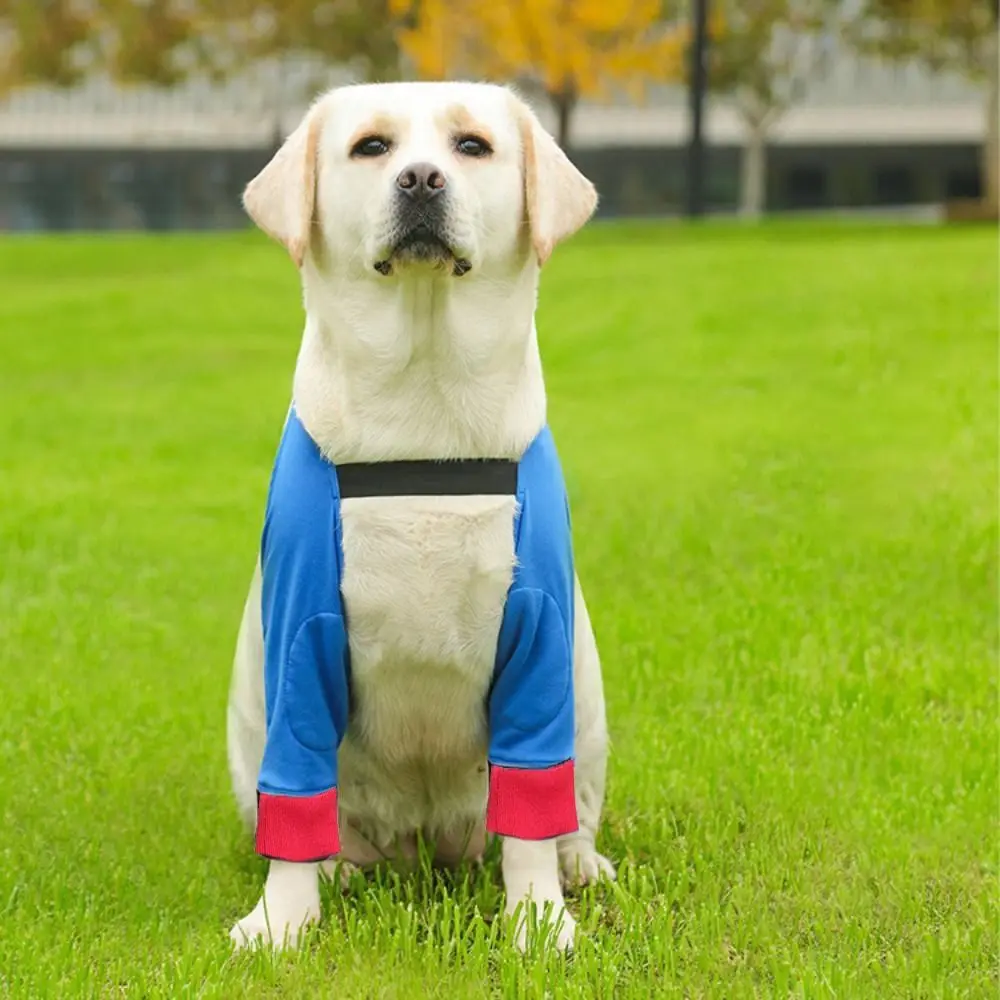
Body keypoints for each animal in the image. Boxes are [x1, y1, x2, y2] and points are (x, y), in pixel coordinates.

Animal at [228, 82, 612, 948]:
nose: (422, 180)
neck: (425, 388)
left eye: (472, 145)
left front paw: (539, 919)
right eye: (372, 147)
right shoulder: (299, 629)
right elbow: (294, 790)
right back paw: (337, 868)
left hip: (588, 701)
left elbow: (530, 818)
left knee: (567, 811)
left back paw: (580, 863)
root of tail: (423, 849)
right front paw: (280, 920)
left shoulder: (540, 630)